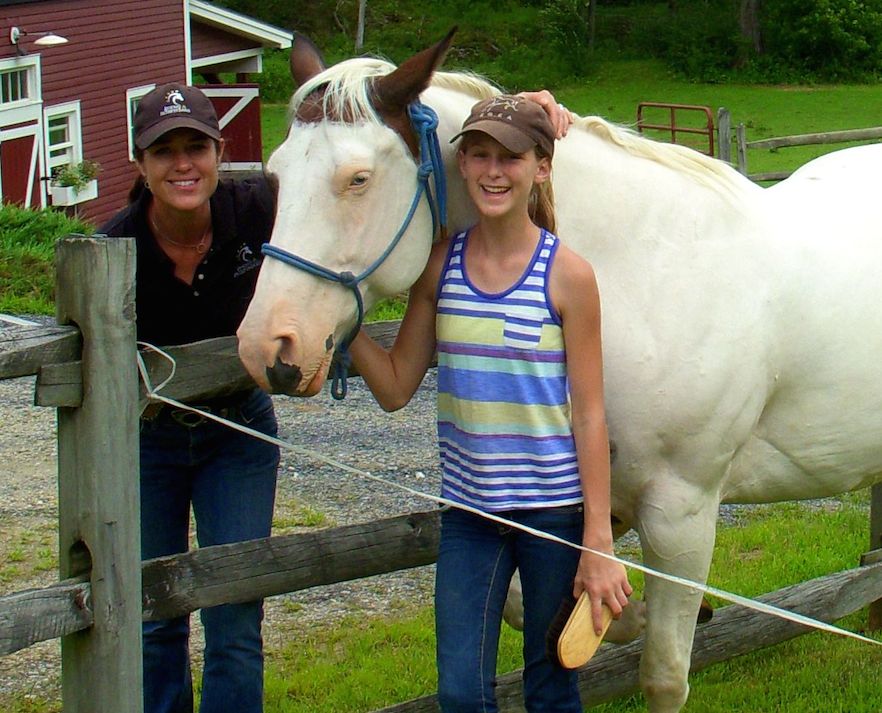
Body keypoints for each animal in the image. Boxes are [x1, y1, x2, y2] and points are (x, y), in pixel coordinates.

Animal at [236, 32, 882, 712]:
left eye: (357, 178)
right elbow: (529, 604)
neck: (639, 273)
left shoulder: (681, 513)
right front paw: (620, 616)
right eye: (276, 174)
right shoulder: (600, 503)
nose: (267, 346)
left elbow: (663, 672)